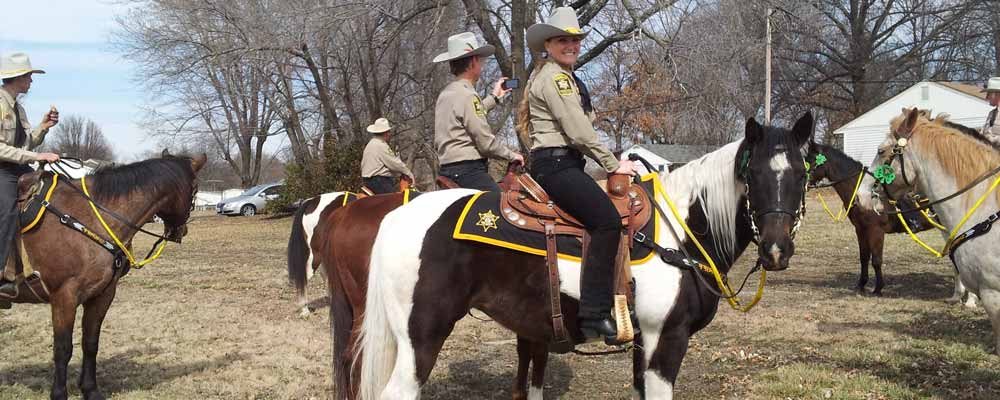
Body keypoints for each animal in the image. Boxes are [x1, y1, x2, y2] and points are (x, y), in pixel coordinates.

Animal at [0, 153, 205, 400]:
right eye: (195, 189)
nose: (181, 231)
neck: (87, 219)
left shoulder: (102, 294)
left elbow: (90, 343)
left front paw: (90, 389)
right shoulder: (64, 296)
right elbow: (62, 348)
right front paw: (59, 393)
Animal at [356, 113, 816, 400]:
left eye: (802, 174)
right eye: (752, 174)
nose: (776, 249)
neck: (679, 230)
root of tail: (396, 217)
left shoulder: (642, 343)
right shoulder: (667, 339)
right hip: (421, 337)